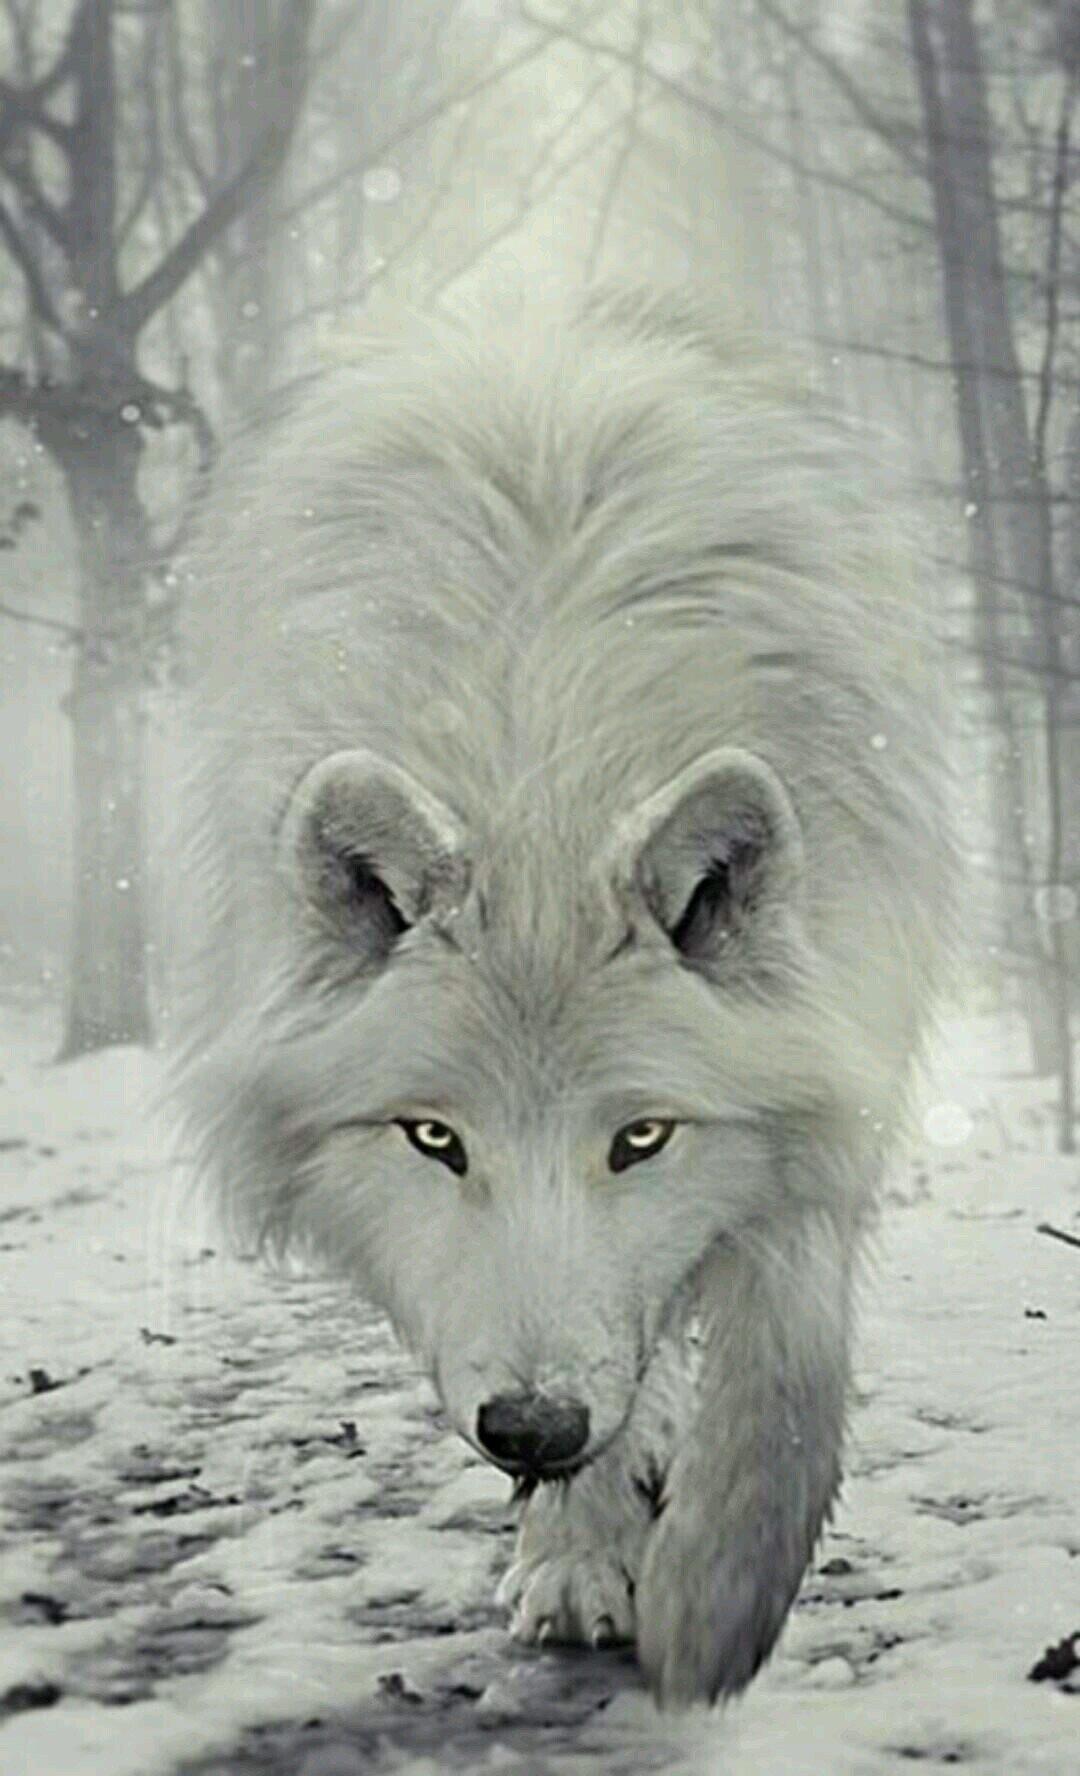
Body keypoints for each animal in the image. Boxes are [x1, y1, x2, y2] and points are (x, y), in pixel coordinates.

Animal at [170, 282, 951, 1709]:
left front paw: (715, 1603)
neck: (544, 770)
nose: (529, 1429)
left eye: (640, 1137)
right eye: (435, 1137)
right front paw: (585, 1554)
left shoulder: (838, 1047)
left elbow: (788, 1359)